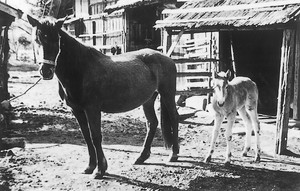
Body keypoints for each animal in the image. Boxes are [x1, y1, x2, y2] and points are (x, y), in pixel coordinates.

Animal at [27, 15, 178, 178]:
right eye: (37, 39)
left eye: (57, 40)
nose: (46, 71)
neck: (80, 69)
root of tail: (167, 58)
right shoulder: (77, 110)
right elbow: (87, 136)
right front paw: (90, 167)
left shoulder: (92, 109)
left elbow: (96, 136)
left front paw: (100, 170)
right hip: (148, 100)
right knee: (152, 123)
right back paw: (141, 157)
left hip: (167, 94)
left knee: (174, 118)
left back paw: (174, 154)